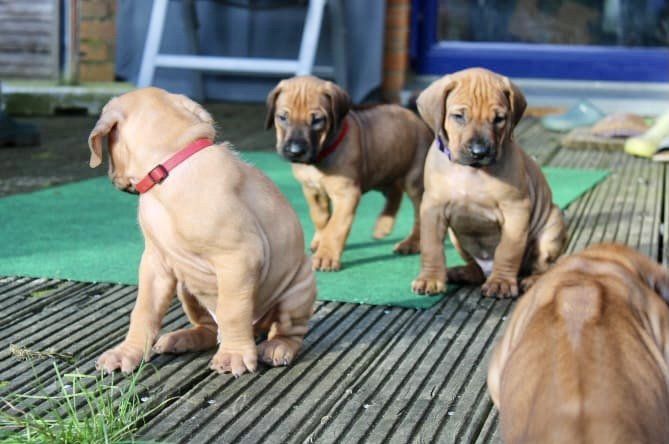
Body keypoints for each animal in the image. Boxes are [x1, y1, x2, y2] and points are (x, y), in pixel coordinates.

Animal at [89, 87, 316, 376]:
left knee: (288, 330)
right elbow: (143, 311)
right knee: (209, 328)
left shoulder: (240, 257)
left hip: (297, 290)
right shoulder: (155, 264)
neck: (169, 165)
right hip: (188, 289)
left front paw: (233, 355)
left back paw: (278, 346)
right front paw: (127, 352)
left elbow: (233, 311)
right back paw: (183, 338)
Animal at [265, 75, 433, 271]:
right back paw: (383, 226)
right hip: (382, 170)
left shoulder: (346, 194)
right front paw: (319, 240)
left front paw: (326, 255)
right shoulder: (311, 190)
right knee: (394, 192)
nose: (295, 151)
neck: (320, 156)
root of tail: (417, 119)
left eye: (317, 120)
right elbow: (320, 217)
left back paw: (412, 243)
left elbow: (336, 226)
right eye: (282, 118)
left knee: (419, 214)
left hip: (414, 180)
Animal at [412, 68, 566, 298]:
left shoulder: (516, 209)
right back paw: (462, 272)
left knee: (545, 266)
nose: (479, 151)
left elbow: (508, 250)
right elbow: (431, 246)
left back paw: (533, 280)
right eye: (459, 116)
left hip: (552, 225)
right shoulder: (433, 208)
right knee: (476, 270)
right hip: (456, 238)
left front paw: (501, 282)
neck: (471, 173)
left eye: (499, 119)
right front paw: (430, 278)